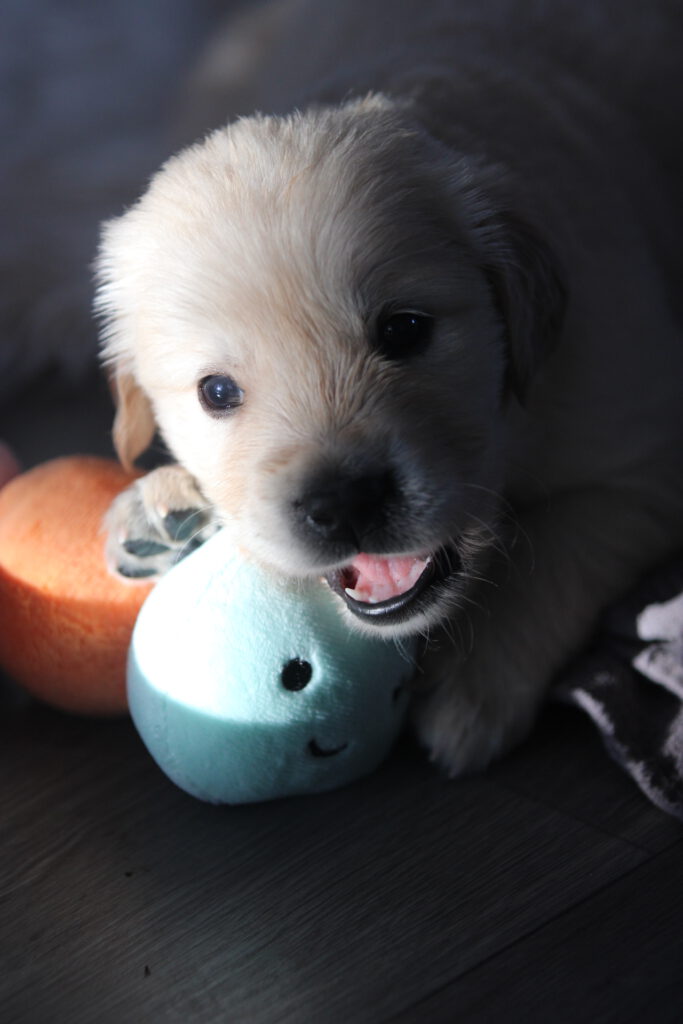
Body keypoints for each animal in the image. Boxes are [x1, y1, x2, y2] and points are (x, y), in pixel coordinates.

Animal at [95, 0, 683, 776]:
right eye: (216, 392)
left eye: (404, 330)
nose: (343, 502)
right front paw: (165, 499)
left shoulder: (644, 448)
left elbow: (558, 548)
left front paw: (473, 683)